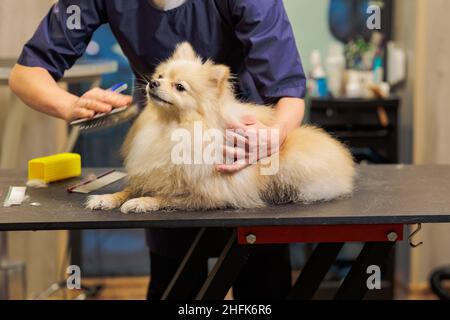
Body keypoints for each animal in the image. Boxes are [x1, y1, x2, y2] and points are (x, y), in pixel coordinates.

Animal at [86, 42, 356, 212]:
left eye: (180, 87)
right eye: (160, 77)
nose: (153, 83)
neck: (170, 128)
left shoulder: (207, 194)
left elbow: (165, 196)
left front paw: (141, 203)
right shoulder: (153, 173)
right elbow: (130, 188)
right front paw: (106, 198)